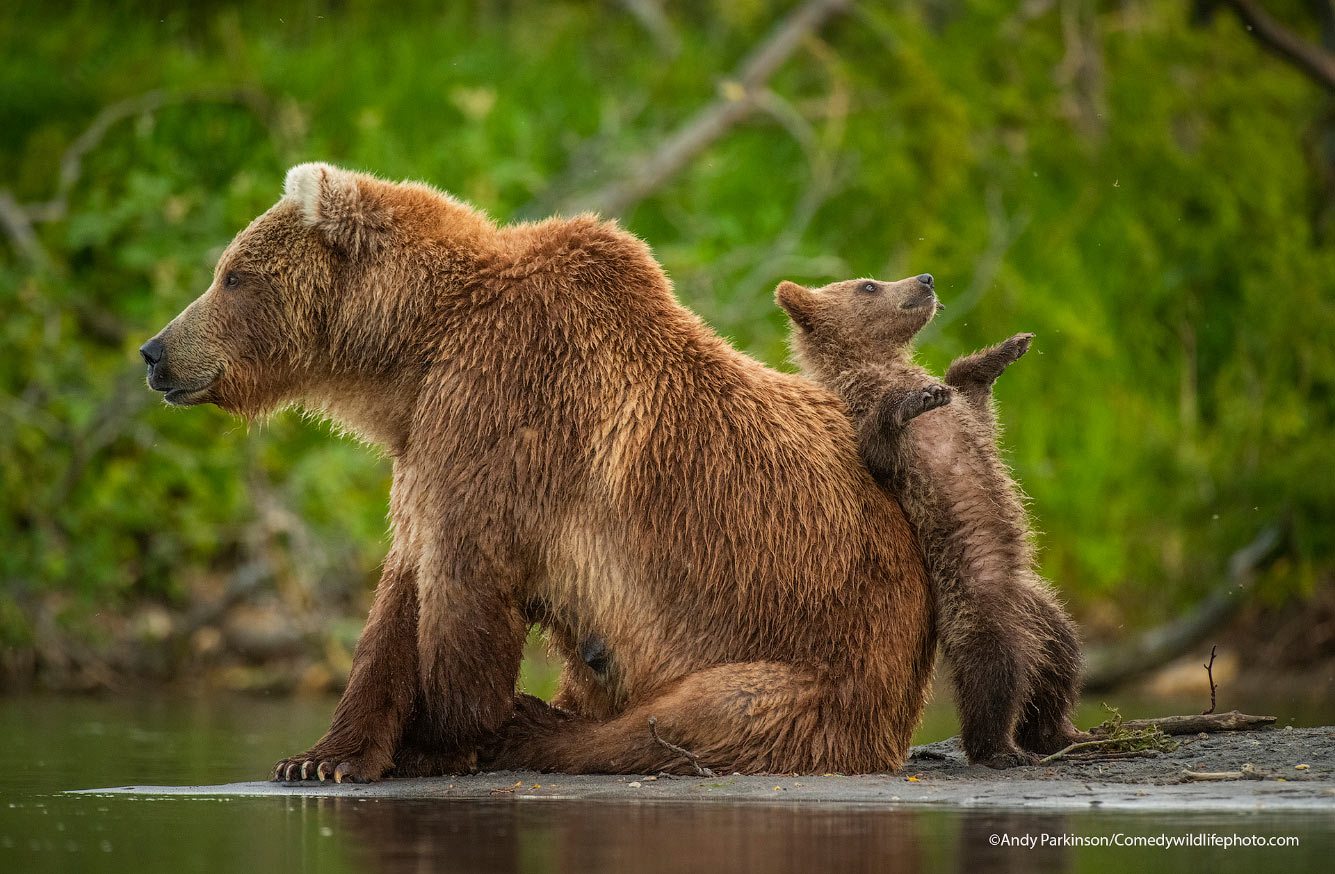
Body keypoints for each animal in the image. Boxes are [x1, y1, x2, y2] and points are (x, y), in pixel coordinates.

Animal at [140, 164, 934, 779]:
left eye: (231, 275)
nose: (154, 352)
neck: (413, 353)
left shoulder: (502, 416)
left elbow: (464, 586)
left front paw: (439, 739)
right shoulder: (428, 444)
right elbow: (398, 596)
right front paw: (320, 757)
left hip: (820, 655)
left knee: (699, 716)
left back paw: (535, 725)